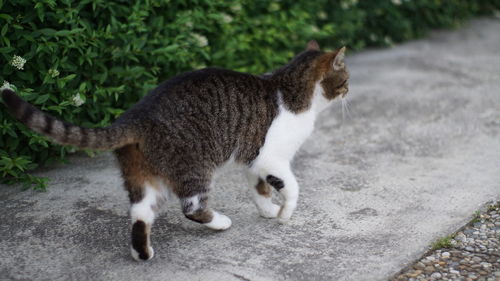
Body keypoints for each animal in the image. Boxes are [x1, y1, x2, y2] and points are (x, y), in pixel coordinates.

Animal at [1, 40, 350, 260]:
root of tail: (135, 115)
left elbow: (260, 188)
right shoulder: (271, 158)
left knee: (140, 213)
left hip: (142, 176)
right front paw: (284, 213)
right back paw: (220, 222)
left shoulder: (254, 161)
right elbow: (291, 187)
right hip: (194, 167)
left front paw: (267, 210)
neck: (292, 91)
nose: (349, 90)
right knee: (192, 207)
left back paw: (142, 254)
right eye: (345, 78)